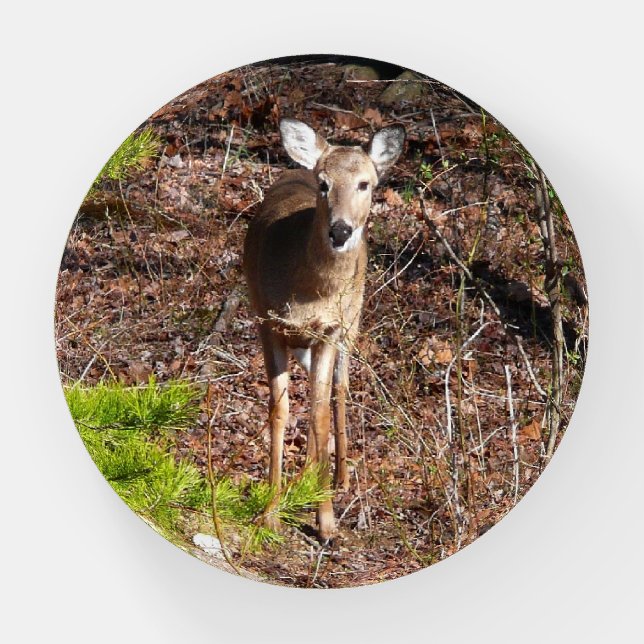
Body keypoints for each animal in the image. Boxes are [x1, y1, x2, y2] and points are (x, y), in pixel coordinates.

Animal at [243, 118, 405, 540]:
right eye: (324, 183)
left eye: (365, 183)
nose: (340, 231)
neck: (309, 292)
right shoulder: (268, 322)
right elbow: (280, 410)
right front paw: (269, 511)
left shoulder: (330, 330)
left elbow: (317, 414)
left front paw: (326, 521)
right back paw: (306, 479)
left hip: (353, 319)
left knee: (339, 389)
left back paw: (339, 478)